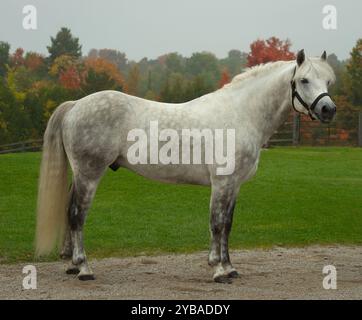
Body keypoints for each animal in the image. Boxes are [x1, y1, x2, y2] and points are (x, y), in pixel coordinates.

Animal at [36, 50, 336, 282]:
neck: (241, 114)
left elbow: (228, 225)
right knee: (77, 215)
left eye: (328, 80)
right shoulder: (222, 183)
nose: (328, 110)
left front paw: (230, 268)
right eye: (303, 80)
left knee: (69, 212)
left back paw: (72, 266)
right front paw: (217, 270)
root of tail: (76, 105)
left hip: (79, 175)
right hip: (89, 173)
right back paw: (84, 268)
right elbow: (216, 224)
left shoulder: (234, 185)